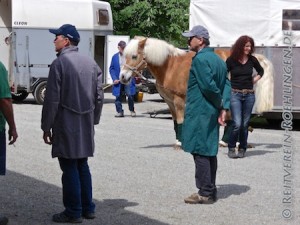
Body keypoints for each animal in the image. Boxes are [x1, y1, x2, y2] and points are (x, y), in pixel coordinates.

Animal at [119, 36, 274, 148]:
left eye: (134, 56)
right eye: (125, 55)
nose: (122, 77)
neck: (170, 67)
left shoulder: (179, 100)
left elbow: (181, 120)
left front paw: (181, 143)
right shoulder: (169, 101)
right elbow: (175, 122)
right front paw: (178, 141)